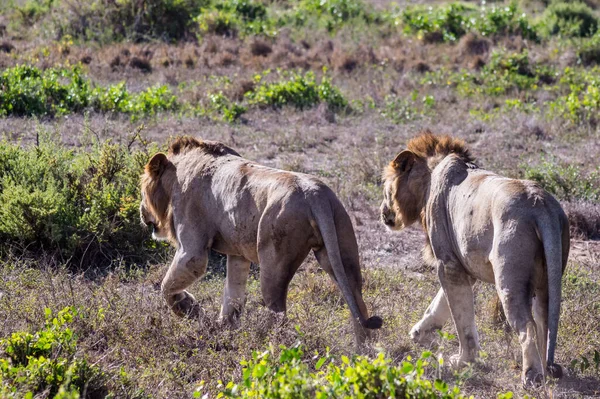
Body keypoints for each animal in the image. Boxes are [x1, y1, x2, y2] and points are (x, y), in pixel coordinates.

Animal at [140, 136, 382, 346]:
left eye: (141, 192)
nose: (141, 211)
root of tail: (314, 193)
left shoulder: (192, 249)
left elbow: (166, 286)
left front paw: (189, 309)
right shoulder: (237, 254)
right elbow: (233, 294)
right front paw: (222, 329)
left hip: (273, 261)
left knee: (278, 312)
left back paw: (269, 347)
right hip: (341, 248)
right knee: (356, 299)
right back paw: (364, 351)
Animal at [382, 133, 568, 386]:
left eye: (385, 187)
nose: (383, 212)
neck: (429, 179)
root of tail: (540, 204)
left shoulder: (449, 264)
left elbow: (462, 319)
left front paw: (463, 361)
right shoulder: (461, 264)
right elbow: (438, 304)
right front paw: (419, 332)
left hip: (510, 280)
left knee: (527, 326)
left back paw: (531, 375)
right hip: (548, 278)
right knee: (544, 321)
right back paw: (546, 370)